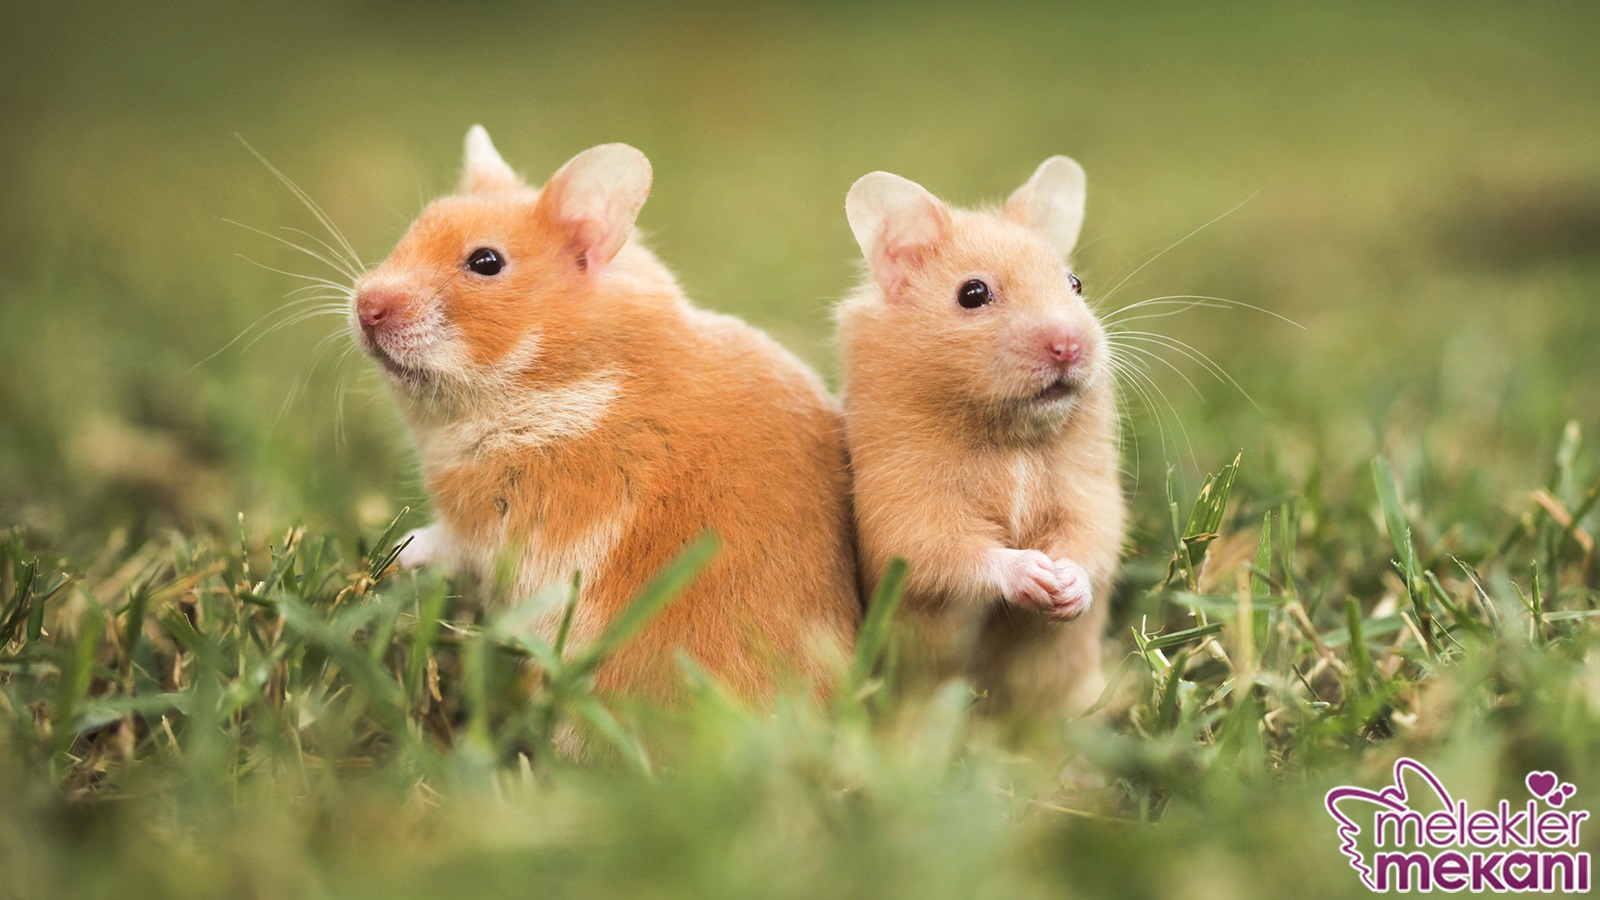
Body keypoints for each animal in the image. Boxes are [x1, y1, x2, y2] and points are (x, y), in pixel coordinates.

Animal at [351, 126, 860, 717]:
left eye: (486, 262)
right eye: (415, 228)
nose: (365, 307)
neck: (562, 380)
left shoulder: (503, 524)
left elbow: (444, 543)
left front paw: (394, 554)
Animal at [835, 157, 1125, 715]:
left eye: (1075, 283)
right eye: (972, 293)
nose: (1069, 345)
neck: (1009, 436)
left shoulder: (1089, 493)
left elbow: (1091, 541)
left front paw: (1065, 588)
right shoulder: (908, 512)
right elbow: (955, 555)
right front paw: (1036, 575)